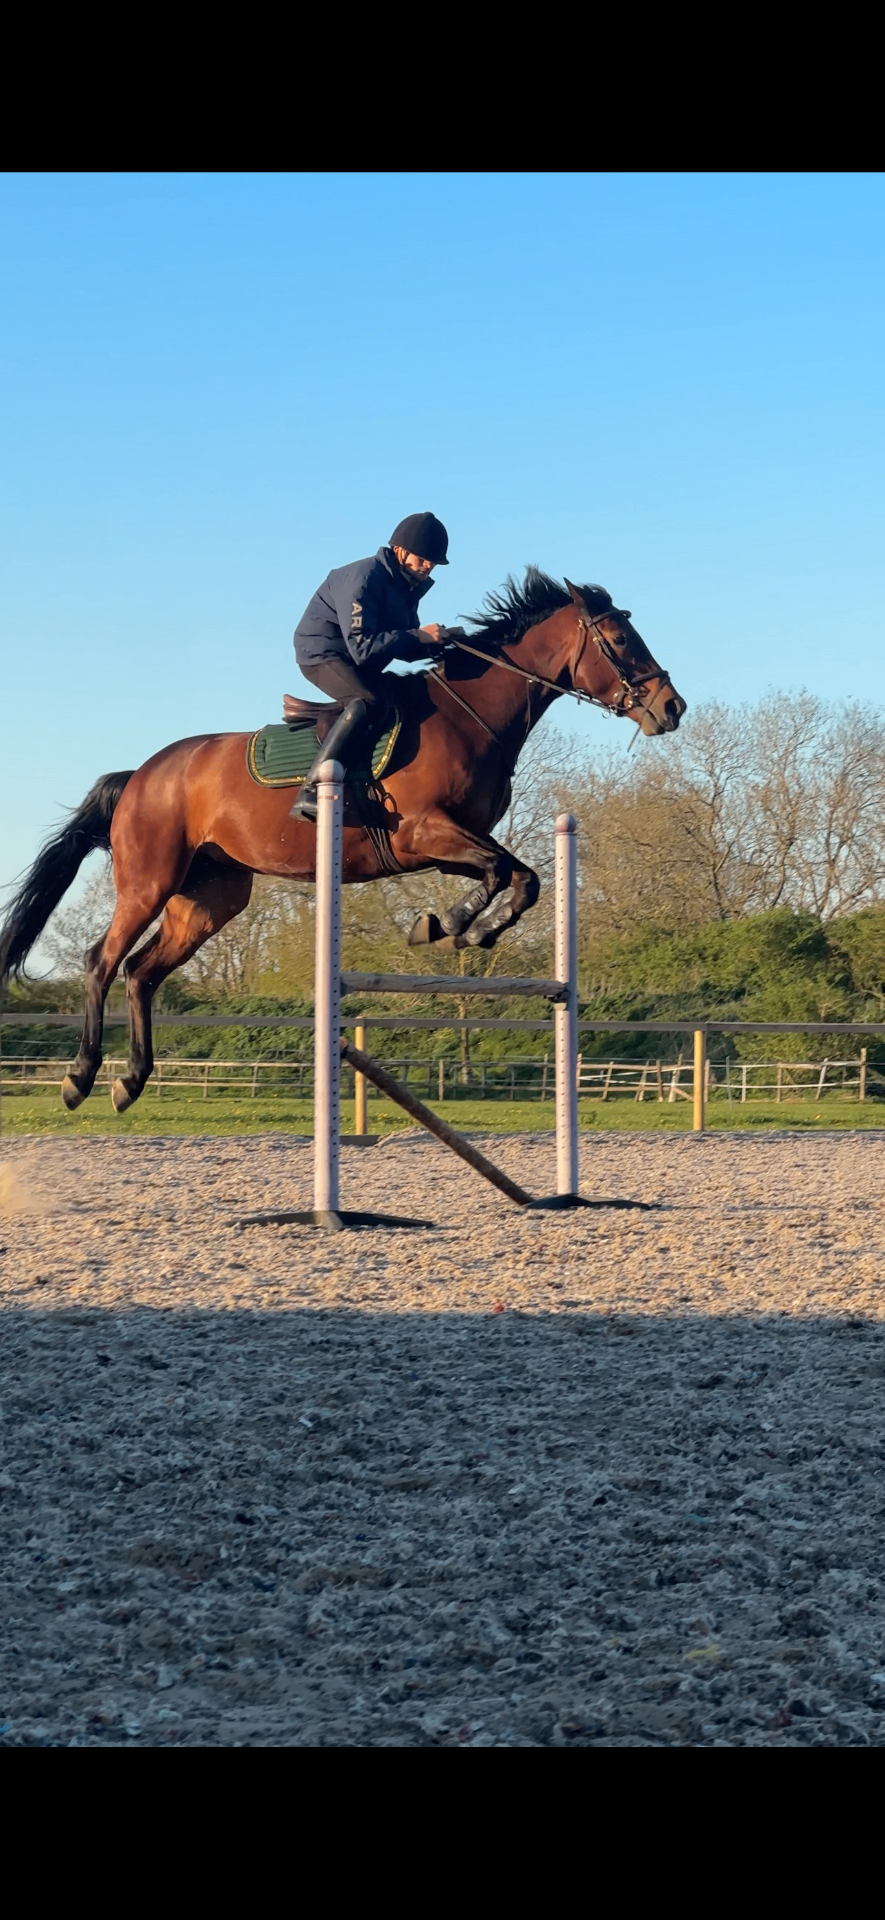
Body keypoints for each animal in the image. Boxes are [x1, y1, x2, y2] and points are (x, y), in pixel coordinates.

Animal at [0, 570, 686, 1114]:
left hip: (209, 900)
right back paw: (81, 1078)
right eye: (620, 640)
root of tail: (141, 775)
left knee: (143, 974)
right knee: (102, 961)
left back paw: (132, 1081)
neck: (470, 715)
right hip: (149, 882)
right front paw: (450, 925)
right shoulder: (425, 832)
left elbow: (523, 877)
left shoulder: (449, 845)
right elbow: (503, 873)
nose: (671, 707)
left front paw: (464, 930)